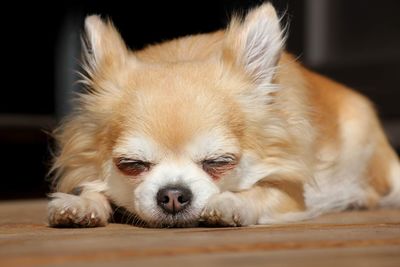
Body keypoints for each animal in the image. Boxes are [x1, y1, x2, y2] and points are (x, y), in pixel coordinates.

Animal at [47, 3, 400, 227]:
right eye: (132, 165)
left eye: (218, 162)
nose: (173, 194)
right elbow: (93, 189)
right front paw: (80, 204)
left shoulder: (292, 193)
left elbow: (260, 192)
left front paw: (231, 202)